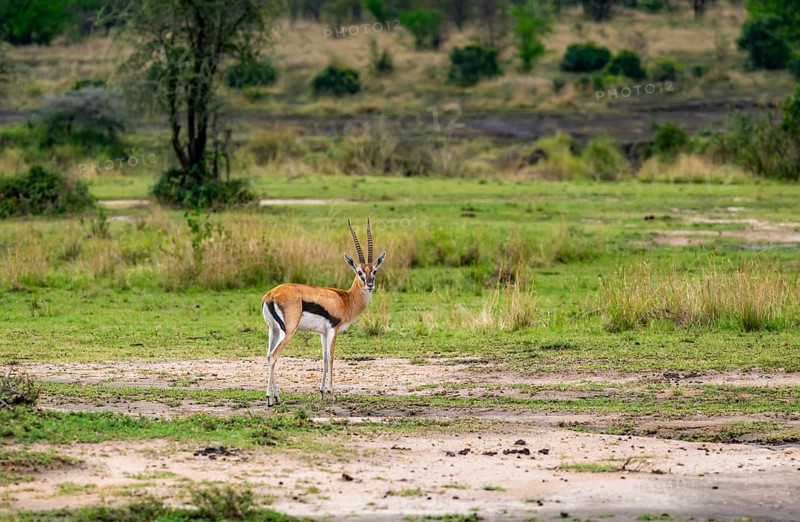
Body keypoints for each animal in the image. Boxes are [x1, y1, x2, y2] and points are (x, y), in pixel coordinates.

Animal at [260, 219, 387, 406]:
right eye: (359, 272)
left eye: (374, 271)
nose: (370, 285)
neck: (346, 299)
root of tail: (270, 295)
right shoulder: (333, 329)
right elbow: (332, 357)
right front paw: (332, 393)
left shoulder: (323, 333)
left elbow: (325, 359)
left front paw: (322, 392)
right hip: (288, 332)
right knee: (274, 356)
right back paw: (269, 398)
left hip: (273, 331)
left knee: (269, 355)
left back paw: (276, 397)